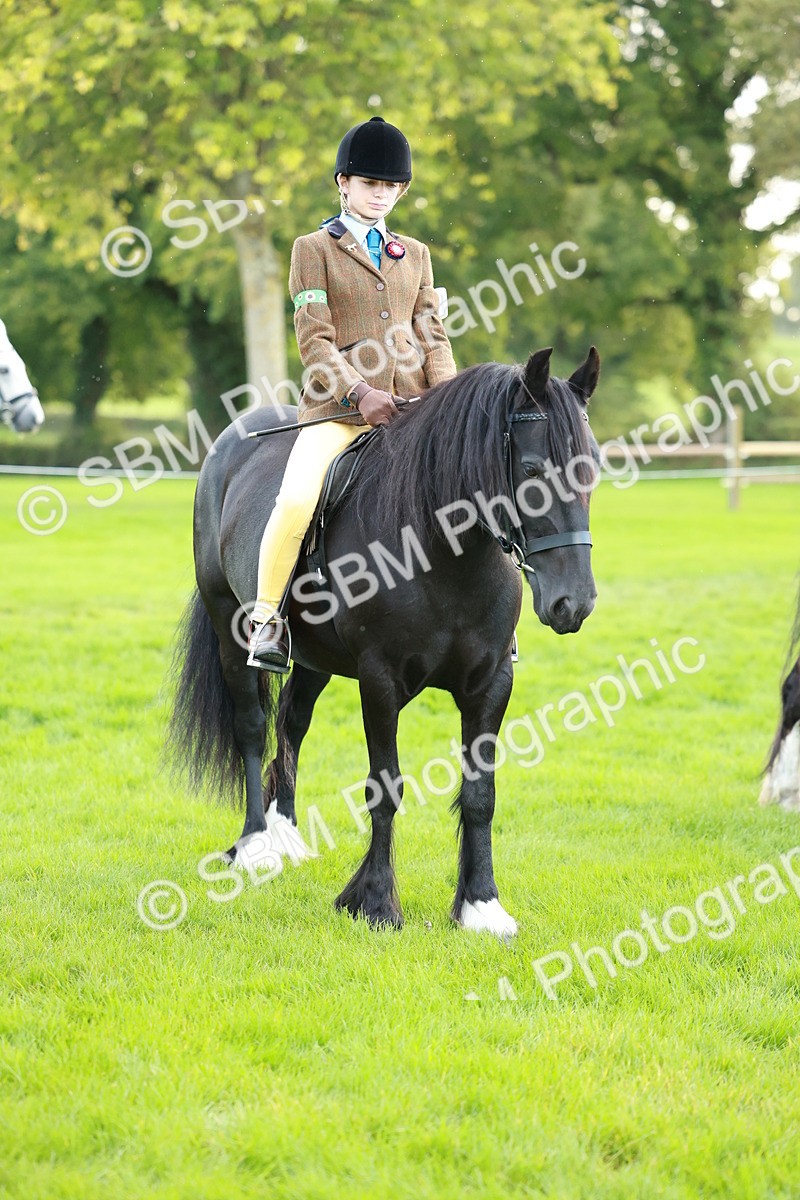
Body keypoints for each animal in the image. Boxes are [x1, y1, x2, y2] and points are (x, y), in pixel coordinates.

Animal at [169, 346, 601, 937]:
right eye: (532, 471)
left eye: (592, 468)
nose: (573, 604)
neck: (443, 550)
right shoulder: (379, 682)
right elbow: (385, 786)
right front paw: (374, 901)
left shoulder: (492, 683)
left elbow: (480, 793)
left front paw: (481, 904)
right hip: (230, 631)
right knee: (253, 727)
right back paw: (256, 845)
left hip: (314, 660)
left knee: (292, 724)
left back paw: (287, 835)